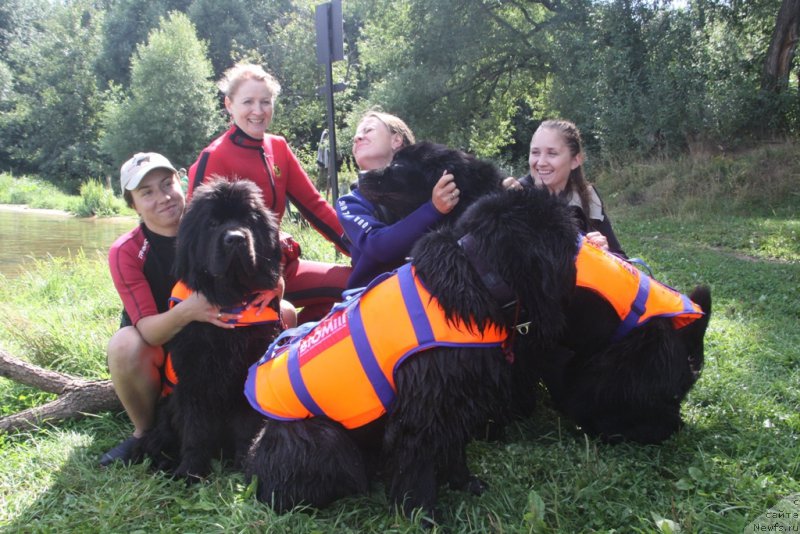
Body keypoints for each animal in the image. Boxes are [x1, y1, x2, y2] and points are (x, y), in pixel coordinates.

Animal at [138, 179, 284, 482]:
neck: (230, 296)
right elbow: (196, 429)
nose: (236, 239)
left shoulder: (246, 377)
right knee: (158, 438)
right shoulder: (194, 379)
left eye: (248, 221)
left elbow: (247, 427)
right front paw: (190, 471)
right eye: (213, 223)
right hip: (166, 407)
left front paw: (243, 464)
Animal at [241, 188, 580, 524]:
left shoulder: (455, 400)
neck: (475, 279)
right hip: (323, 437)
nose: (579, 235)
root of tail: (253, 467)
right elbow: (418, 467)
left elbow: (454, 447)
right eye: (558, 231)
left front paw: (464, 483)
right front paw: (423, 515)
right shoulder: (422, 411)